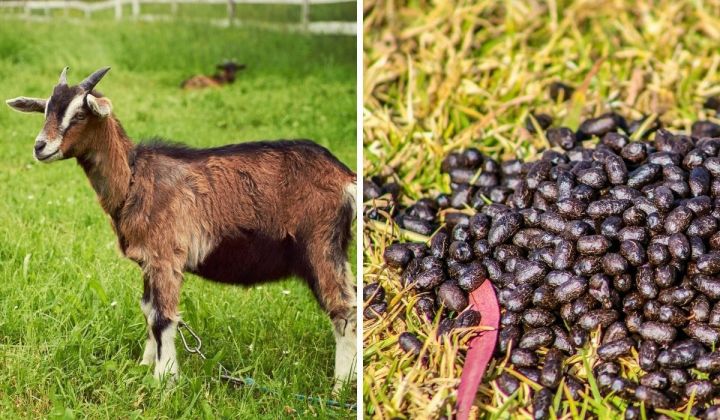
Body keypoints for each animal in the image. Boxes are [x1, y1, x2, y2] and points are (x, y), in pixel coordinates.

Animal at [6, 67, 357, 391]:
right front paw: (145, 365)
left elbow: (163, 318)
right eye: (47, 109)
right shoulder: (148, 260)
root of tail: (344, 176)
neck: (135, 178)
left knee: (344, 310)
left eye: (79, 113)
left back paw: (341, 385)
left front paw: (165, 380)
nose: (40, 147)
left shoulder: (166, 256)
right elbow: (148, 310)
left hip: (321, 244)